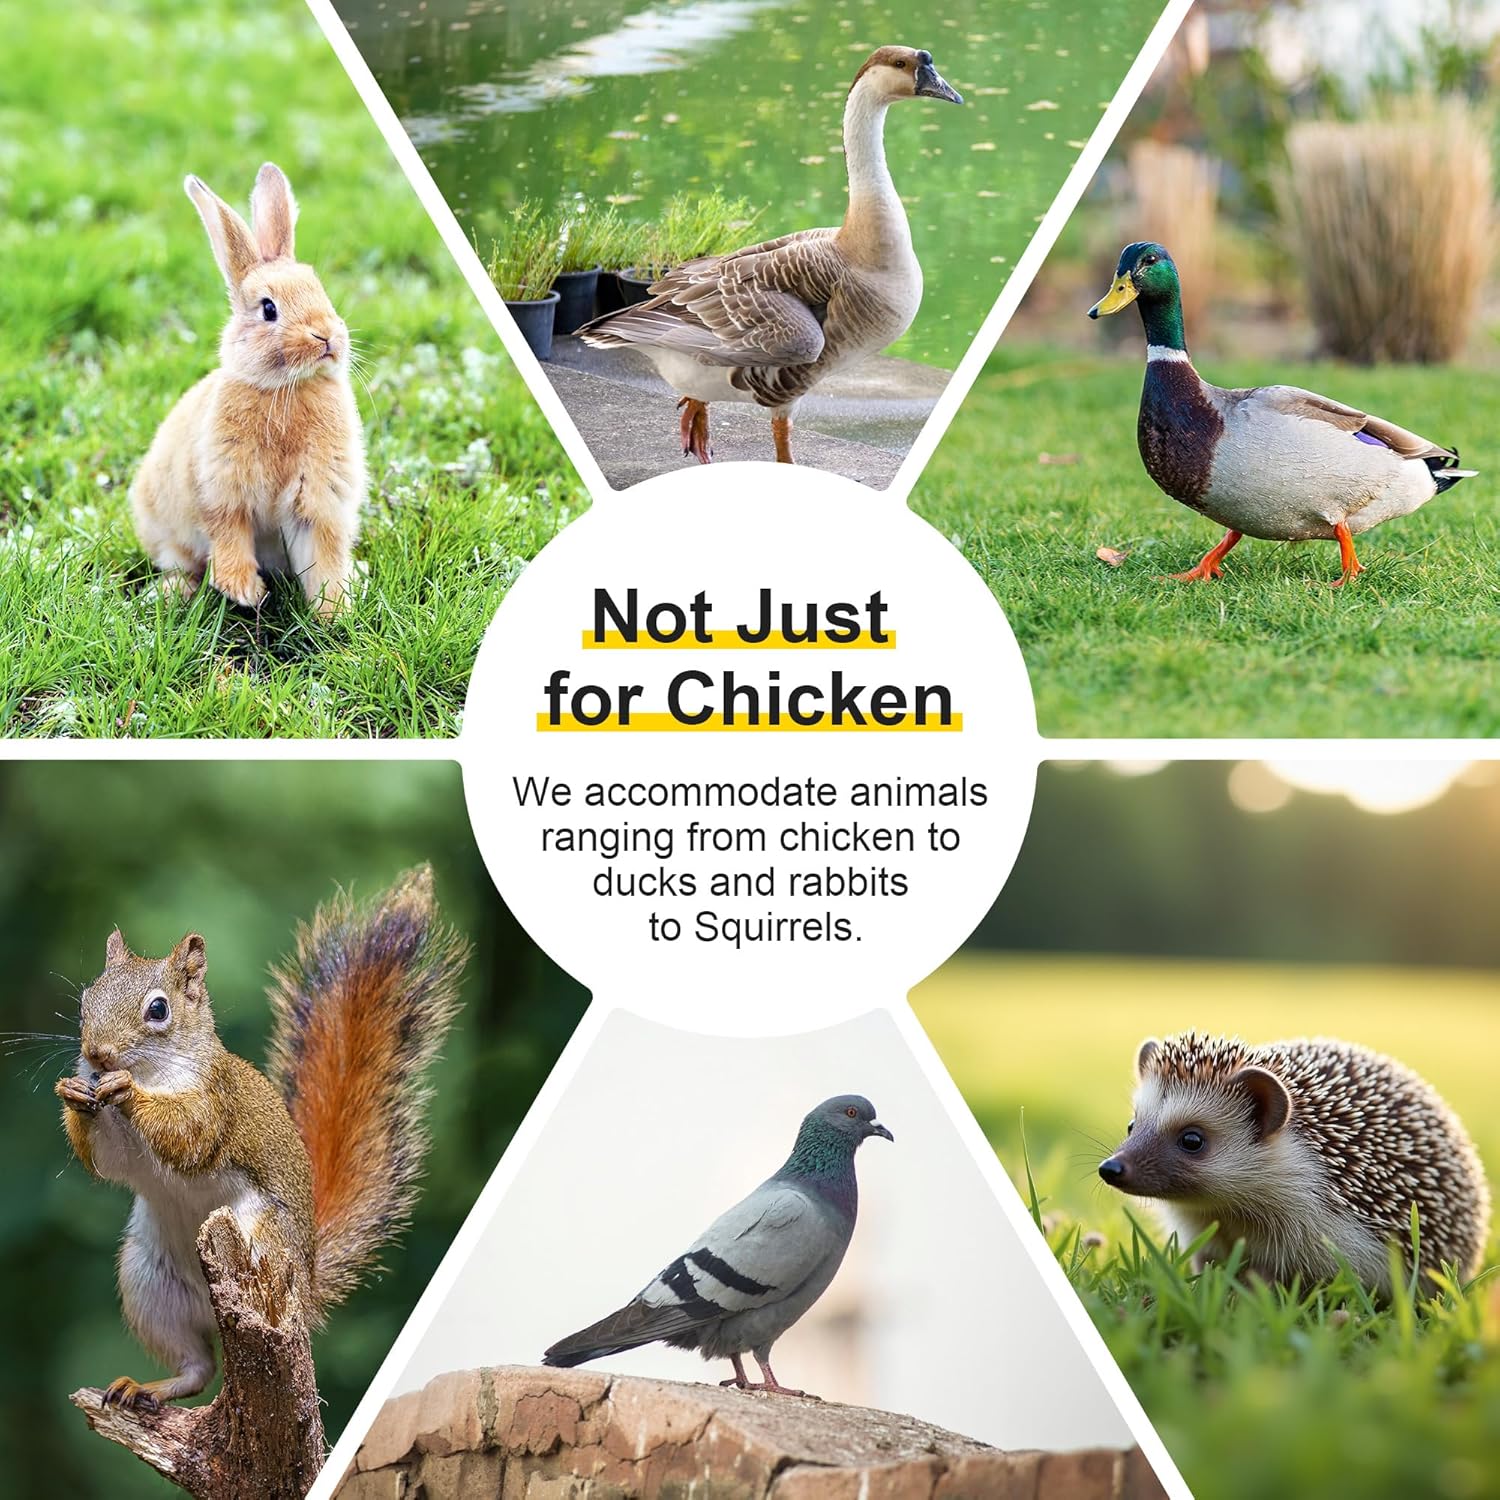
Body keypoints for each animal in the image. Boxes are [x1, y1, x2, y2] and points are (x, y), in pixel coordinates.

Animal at [130, 162, 366, 618]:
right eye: (268, 308)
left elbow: (324, 554)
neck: (286, 388)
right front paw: (245, 593)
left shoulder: (318, 500)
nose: (326, 336)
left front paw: (334, 610)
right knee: (181, 561)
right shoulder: (223, 490)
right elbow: (229, 537)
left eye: (319, 289)